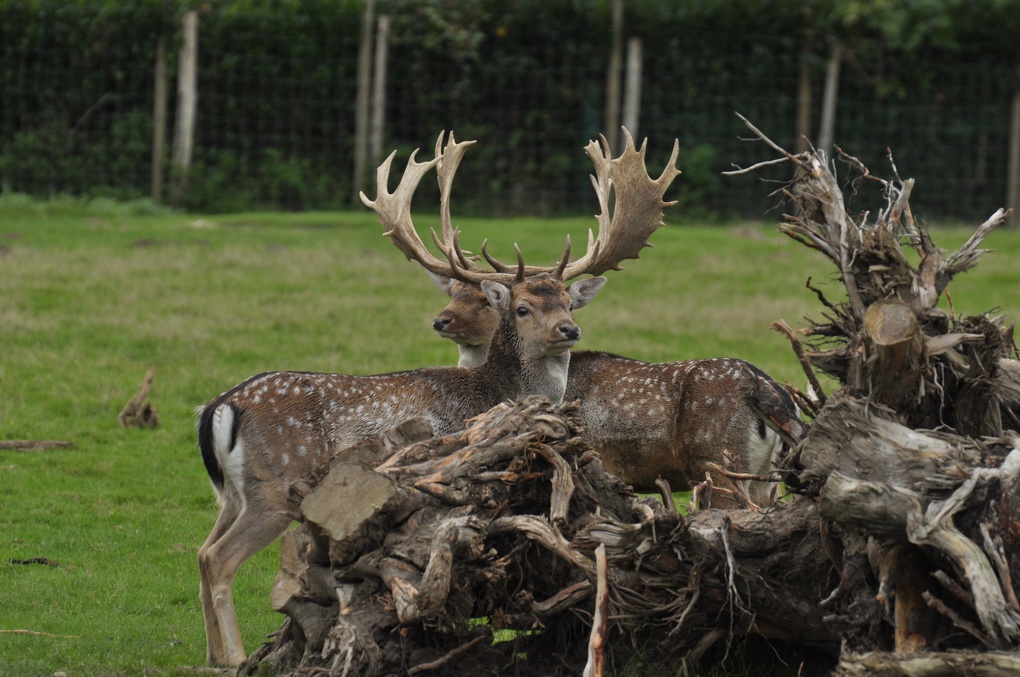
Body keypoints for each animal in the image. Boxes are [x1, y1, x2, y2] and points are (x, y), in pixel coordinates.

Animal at [194, 130, 679, 667]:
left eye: (569, 303)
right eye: (523, 307)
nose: (569, 330)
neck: (495, 391)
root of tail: (219, 408)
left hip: (233, 493)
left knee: (200, 551)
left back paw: (214, 655)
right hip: (275, 485)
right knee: (217, 557)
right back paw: (234, 658)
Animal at [428, 131, 803, 508]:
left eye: (488, 302)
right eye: (453, 293)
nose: (441, 321)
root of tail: (776, 397)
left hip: (717, 459)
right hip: (766, 479)